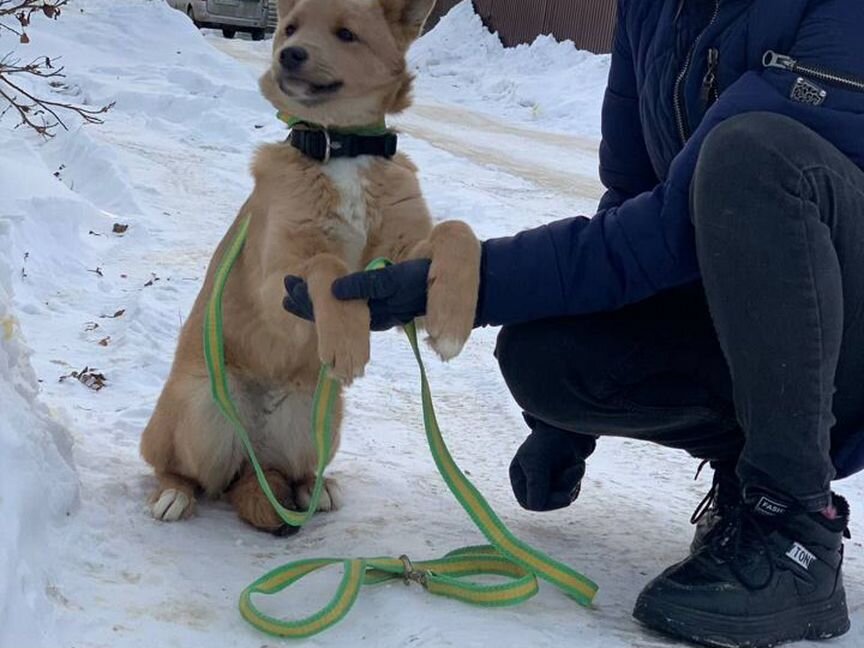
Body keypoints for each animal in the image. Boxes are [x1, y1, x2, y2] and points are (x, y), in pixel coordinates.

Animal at [138, 0, 482, 532]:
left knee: (286, 472)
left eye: (346, 34)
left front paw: (451, 323)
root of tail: (251, 456)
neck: (340, 148)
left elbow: (457, 231)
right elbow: (325, 264)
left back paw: (313, 490)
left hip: (319, 420)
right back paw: (175, 494)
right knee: (184, 470)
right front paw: (348, 339)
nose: (289, 55)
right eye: (292, 28)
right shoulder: (274, 278)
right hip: (200, 407)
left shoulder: (406, 253)